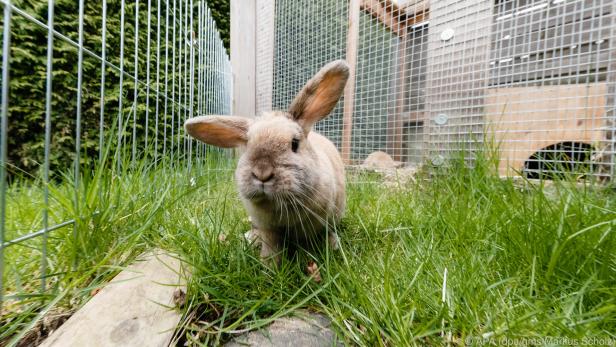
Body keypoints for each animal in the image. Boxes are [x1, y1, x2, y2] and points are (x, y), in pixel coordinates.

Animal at [183, 59, 348, 262]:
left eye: (294, 144)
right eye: (247, 147)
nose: (262, 173)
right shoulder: (268, 229)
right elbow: (271, 248)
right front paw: (268, 266)